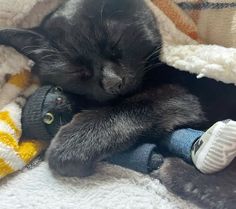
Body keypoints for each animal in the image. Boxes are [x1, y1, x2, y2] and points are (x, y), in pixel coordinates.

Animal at [0, 0, 236, 177]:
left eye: (115, 44)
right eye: (79, 69)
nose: (112, 82)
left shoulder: (188, 95)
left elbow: (136, 106)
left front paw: (72, 144)